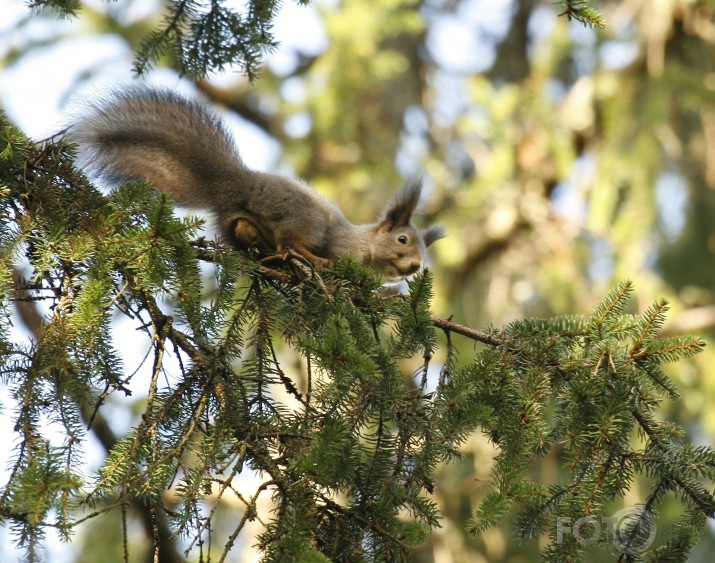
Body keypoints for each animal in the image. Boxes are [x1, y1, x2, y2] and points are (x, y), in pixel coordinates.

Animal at [70, 87, 444, 280]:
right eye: (402, 239)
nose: (415, 268)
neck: (366, 249)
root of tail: (238, 185)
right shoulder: (342, 244)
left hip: (242, 225)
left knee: (254, 238)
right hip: (305, 217)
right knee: (290, 241)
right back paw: (314, 260)